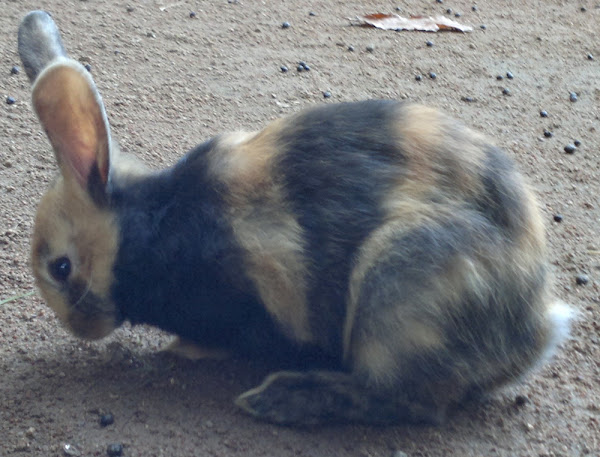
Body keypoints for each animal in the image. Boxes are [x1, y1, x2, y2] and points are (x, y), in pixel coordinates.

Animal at [18, 9, 572, 424]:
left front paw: (186, 351)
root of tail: (534, 330)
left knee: (407, 402)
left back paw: (281, 399)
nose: (77, 327)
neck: (150, 230)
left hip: (399, 285)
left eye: (61, 267)